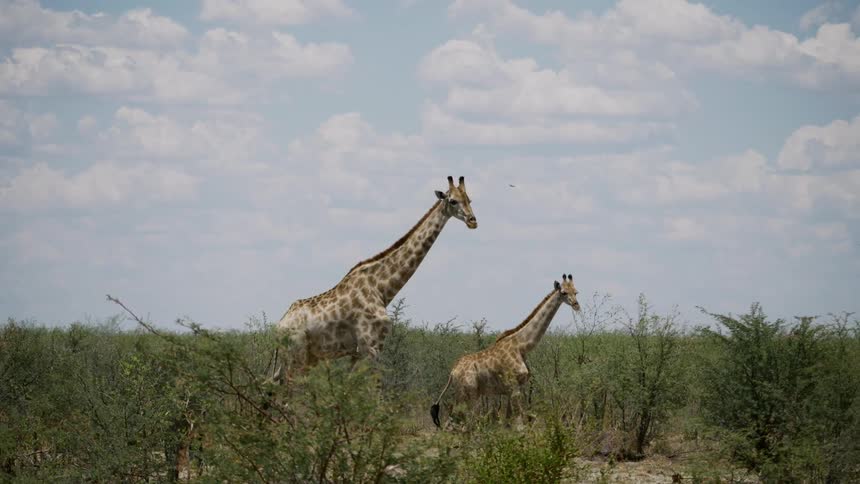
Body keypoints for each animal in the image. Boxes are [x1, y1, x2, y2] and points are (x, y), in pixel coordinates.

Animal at [277, 176, 477, 378]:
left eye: (469, 200)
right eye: (452, 201)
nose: (472, 221)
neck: (381, 289)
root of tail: (279, 326)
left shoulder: (360, 351)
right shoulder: (371, 346)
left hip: (306, 358)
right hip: (298, 355)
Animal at [430, 274, 581, 428]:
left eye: (576, 292)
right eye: (564, 292)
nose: (576, 305)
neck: (522, 346)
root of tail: (452, 372)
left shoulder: (512, 389)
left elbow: (510, 422)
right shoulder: (514, 388)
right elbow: (520, 424)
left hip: (467, 394)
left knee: (454, 423)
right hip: (469, 393)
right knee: (459, 424)